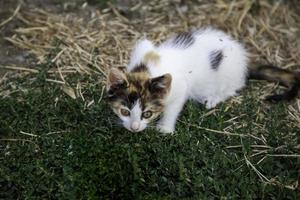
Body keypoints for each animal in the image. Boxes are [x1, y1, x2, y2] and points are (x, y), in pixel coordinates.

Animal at [105, 27, 298, 134]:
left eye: (147, 114)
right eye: (124, 112)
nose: (134, 128)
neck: (147, 69)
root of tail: (244, 60)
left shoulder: (180, 87)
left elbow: (173, 108)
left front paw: (165, 129)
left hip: (228, 72)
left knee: (232, 87)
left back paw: (212, 99)